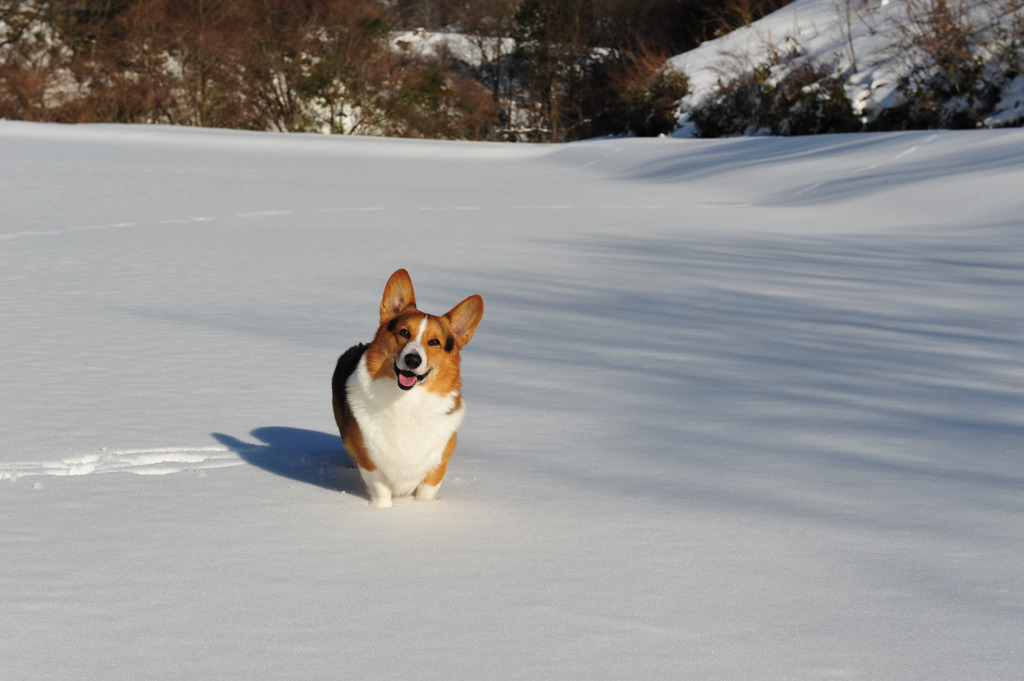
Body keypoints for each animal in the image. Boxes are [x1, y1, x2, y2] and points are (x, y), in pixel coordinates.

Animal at [331, 268, 483, 507]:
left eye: (435, 342)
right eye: (404, 333)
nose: (412, 359)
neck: (407, 401)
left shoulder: (437, 465)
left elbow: (427, 492)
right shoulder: (370, 462)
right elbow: (381, 491)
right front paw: (381, 509)